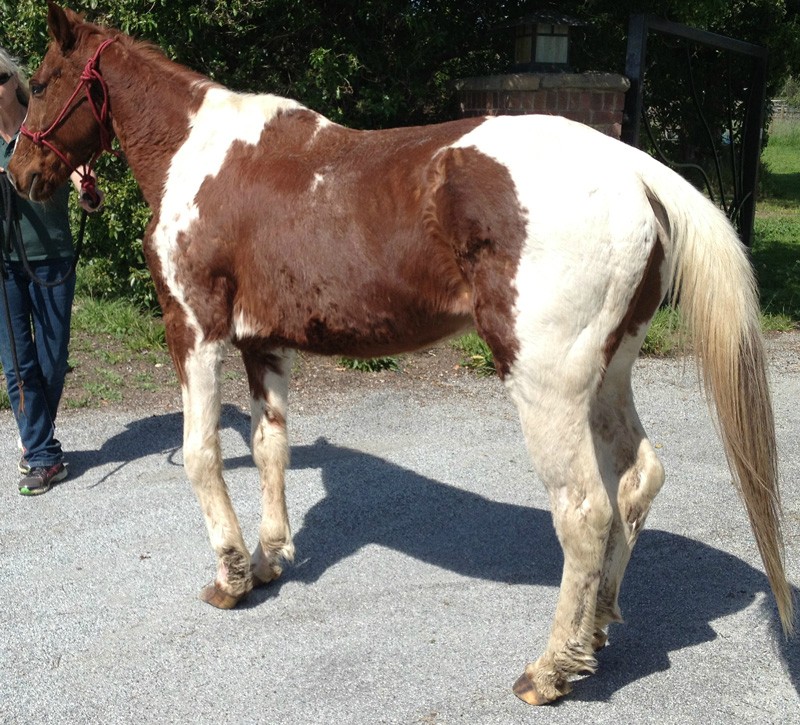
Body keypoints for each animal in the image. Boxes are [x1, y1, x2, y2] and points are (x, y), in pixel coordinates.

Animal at [9, 3, 794, 706]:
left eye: (40, 83)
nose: (19, 175)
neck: (201, 157)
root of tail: (634, 169)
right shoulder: (265, 343)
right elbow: (269, 448)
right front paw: (267, 562)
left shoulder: (195, 329)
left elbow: (203, 455)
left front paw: (230, 579)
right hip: (608, 374)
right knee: (637, 480)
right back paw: (594, 631)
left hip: (547, 383)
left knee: (584, 511)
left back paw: (549, 671)